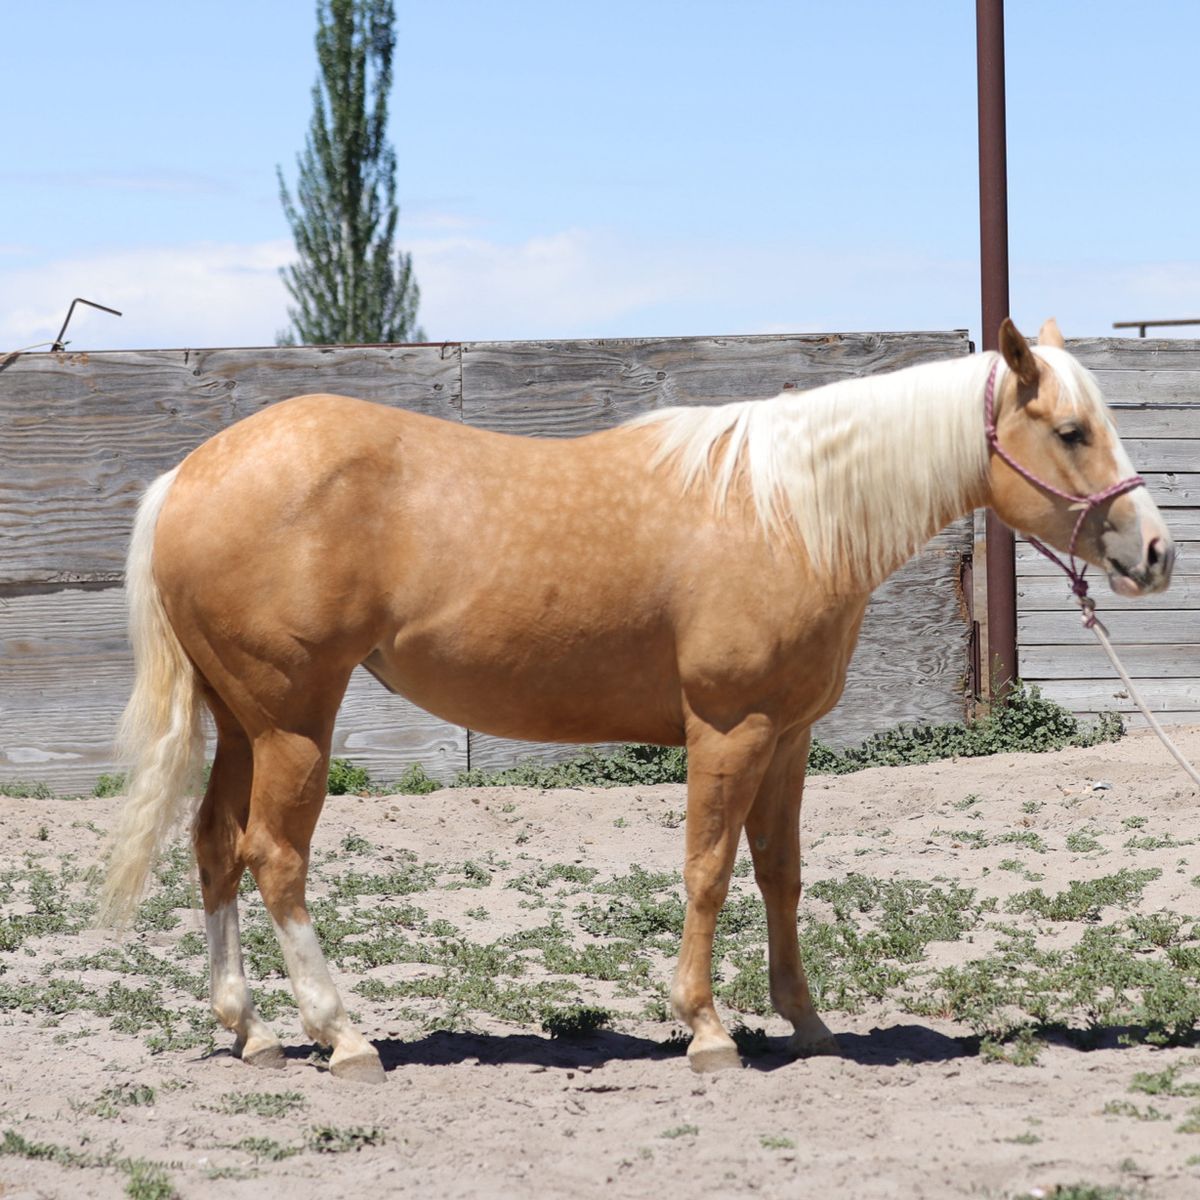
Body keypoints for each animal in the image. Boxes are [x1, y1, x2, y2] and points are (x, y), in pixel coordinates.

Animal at [99, 319, 1173, 1082]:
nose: (1155, 553)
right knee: (274, 857)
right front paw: (706, 1029)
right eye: (1071, 431)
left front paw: (807, 1022)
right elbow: (707, 871)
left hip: (242, 723)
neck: (787, 510)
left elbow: (780, 874)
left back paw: (250, 1029)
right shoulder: (729, 730)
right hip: (294, 723)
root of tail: (189, 474)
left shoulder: (789, 737)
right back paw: (341, 1032)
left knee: (214, 846)